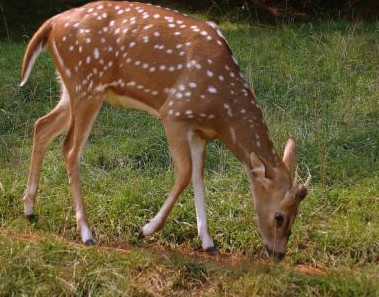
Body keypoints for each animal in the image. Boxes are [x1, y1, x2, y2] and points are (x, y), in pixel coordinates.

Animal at [20, 0, 312, 260]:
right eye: (279, 216)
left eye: (297, 214)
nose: (278, 254)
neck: (221, 111)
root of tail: (52, 23)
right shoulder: (174, 113)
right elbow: (184, 173)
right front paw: (145, 230)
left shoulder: (199, 131)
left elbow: (199, 175)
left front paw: (208, 242)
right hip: (86, 85)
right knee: (70, 148)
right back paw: (86, 232)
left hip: (70, 88)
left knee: (41, 125)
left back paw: (30, 208)